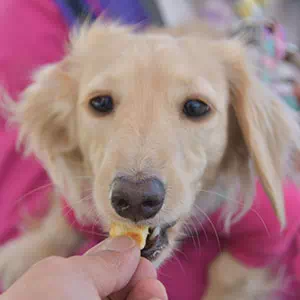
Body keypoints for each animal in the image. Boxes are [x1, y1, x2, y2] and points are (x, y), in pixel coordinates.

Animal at [0, 19, 300, 298]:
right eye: (100, 102)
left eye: (196, 106)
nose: (135, 199)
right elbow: (62, 222)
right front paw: (22, 255)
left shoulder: (273, 228)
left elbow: (228, 275)